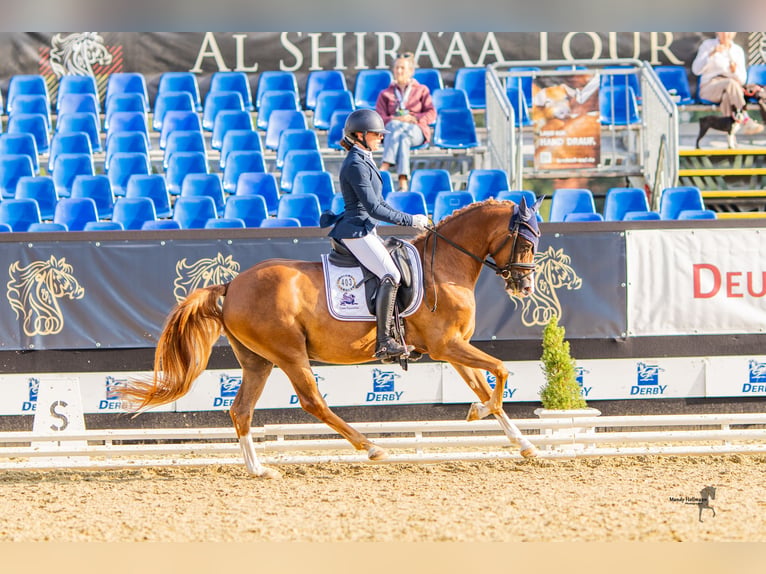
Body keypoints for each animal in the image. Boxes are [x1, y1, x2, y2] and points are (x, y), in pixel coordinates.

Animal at [117, 197, 543, 478]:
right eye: (525, 242)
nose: (523, 286)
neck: (445, 267)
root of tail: (232, 284)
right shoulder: (447, 345)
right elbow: (501, 370)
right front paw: (480, 413)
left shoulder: (453, 349)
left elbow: (486, 383)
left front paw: (523, 443)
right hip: (289, 354)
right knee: (313, 402)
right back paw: (371, 447)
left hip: (258, 361)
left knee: (241, 410)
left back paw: (259, 469)